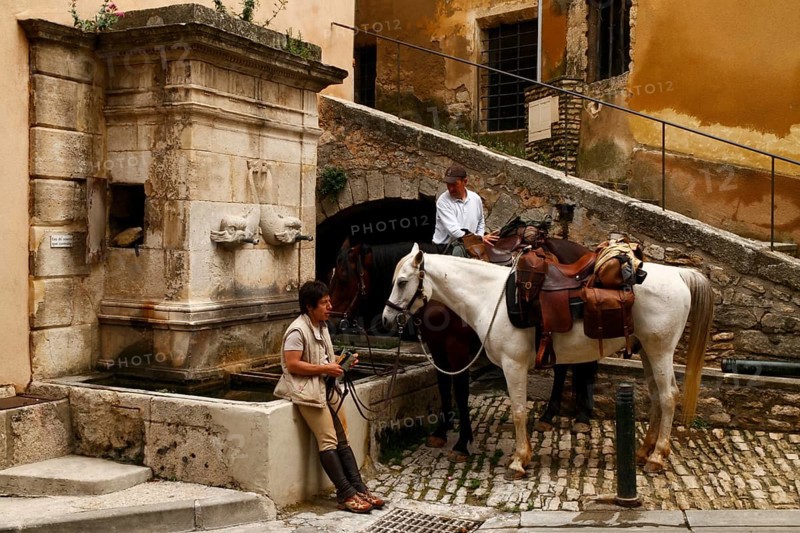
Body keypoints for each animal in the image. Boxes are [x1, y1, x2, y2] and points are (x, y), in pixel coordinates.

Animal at [382, 244, 713, 476]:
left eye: (402, 282)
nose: (386, 319)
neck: (491, 297)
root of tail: (678, 274)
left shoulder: (513, 365)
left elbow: (518, 411)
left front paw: (519, 460)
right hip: (647, 350)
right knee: (657, 396)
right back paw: (645, 451)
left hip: (660, 351)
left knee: (668, 397)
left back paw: (657, 457)